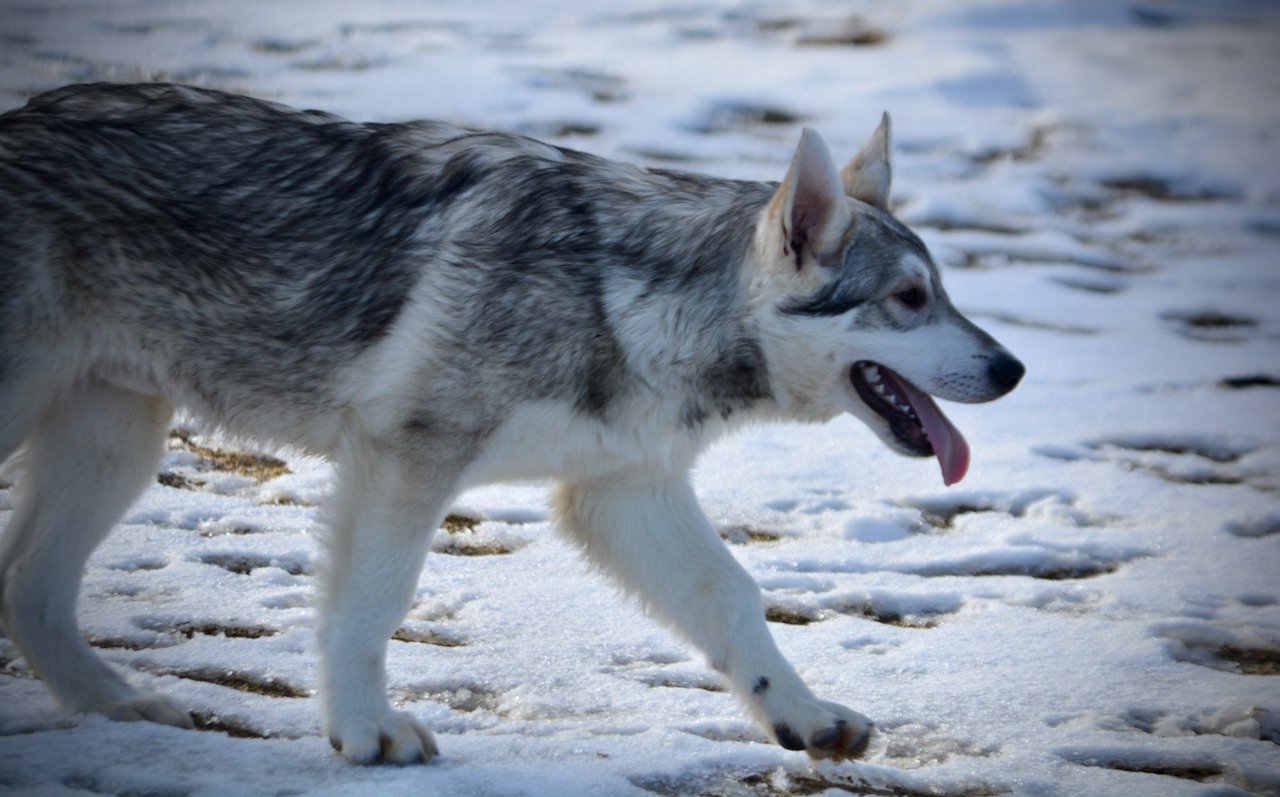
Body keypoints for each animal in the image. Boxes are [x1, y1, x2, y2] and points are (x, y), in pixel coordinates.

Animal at [0, 84, 1018, 762]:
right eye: (910, 298)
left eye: (944, 291)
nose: (1012, 369)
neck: (625, 296)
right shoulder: (408, 459)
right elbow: (373, 603)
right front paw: (364, 730)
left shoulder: (624, 492)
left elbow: (734, 600)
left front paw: (801, 715)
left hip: (117, 443)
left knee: (30, 591)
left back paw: (118, 708)